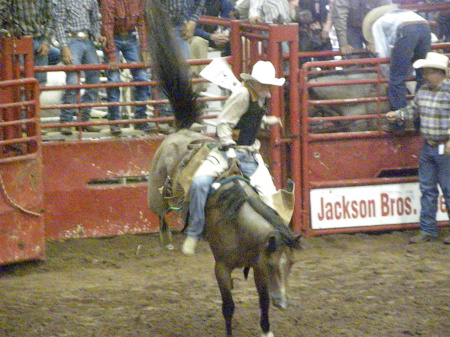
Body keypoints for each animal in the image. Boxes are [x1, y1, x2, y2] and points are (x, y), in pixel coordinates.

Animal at [142, 1, 300, 334]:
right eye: (275, 264)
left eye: (290, 263)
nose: (284, 303)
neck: (240, 222)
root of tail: (181, 131)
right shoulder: (222, 268)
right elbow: (228, 307)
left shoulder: (256, 266)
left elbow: (262, 302)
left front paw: (267, 327)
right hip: (155, 192)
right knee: (160, 212)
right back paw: (169, 240)